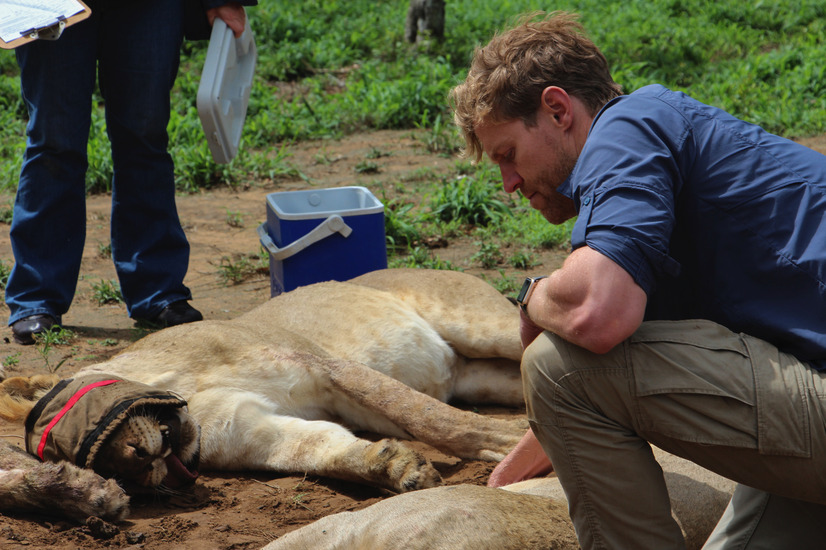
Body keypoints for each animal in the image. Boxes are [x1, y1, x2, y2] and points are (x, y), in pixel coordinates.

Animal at [0, 270, 528, 524]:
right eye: (89, 465)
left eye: (78, 421)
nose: (138, 461)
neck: (186, 391)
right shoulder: (250, 429)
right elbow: (321, 449)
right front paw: (394, 467)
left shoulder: (324, 365)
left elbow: (431, 417)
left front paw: (514, 443)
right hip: (479, 373)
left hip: (484, 325)